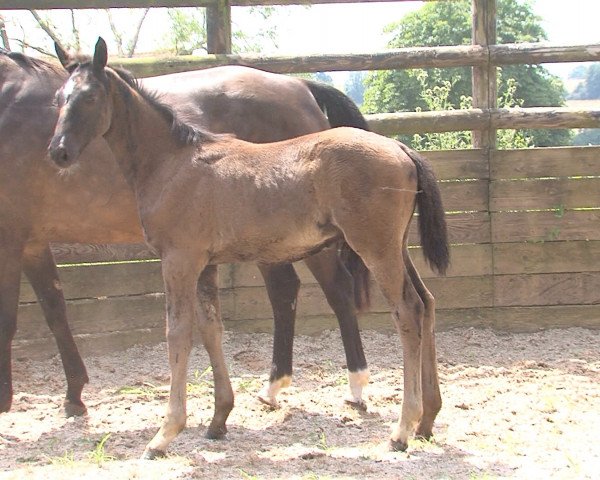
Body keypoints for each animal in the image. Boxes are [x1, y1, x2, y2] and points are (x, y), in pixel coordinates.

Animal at [49, 39, 448, 460]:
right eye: (59, 98)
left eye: (90, 97)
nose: (58, 152)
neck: (173, 163)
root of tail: (401, 148)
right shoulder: (205, 265)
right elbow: (211, 329)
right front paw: (218, 419)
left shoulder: (178, 260)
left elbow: (177, 333)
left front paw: (165, 433)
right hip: (397, 247)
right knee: (427, 303)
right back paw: (427, 420)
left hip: (375, 248)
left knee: (408, 311)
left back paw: (402, 429)